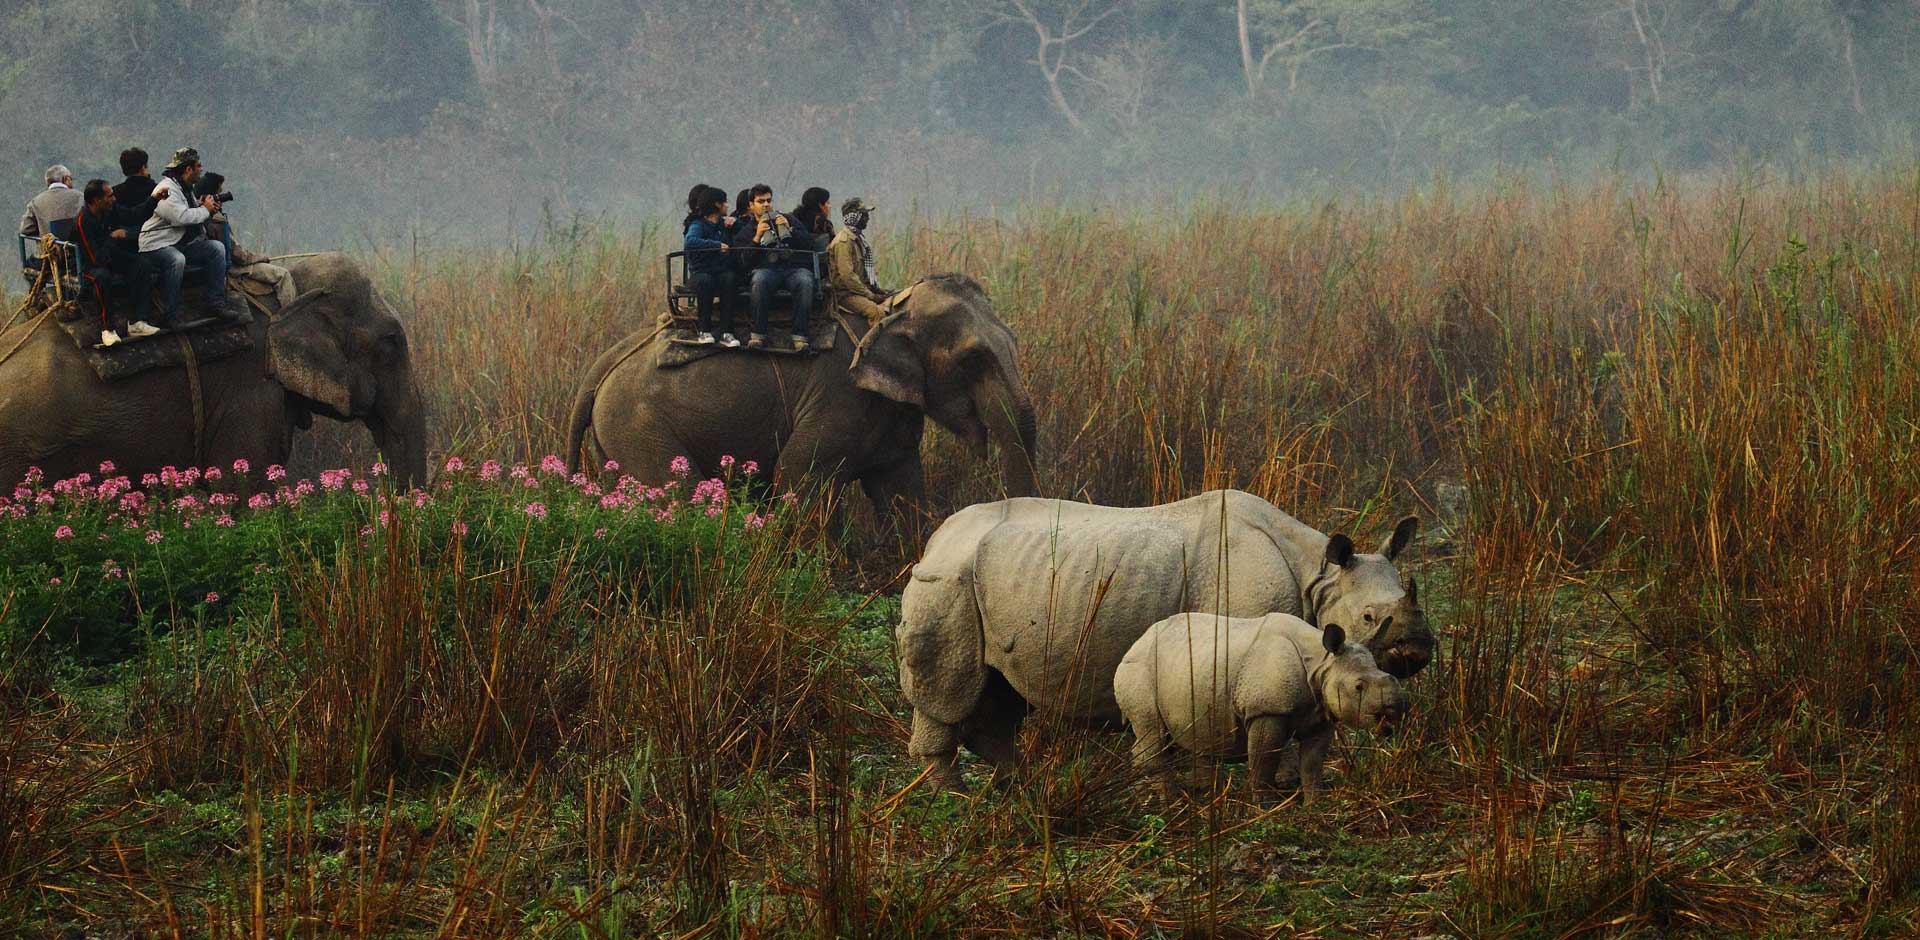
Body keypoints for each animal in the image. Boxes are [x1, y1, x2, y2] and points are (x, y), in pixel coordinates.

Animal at [568, 272, 1044, 525]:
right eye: (973, 359)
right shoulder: (839, 398)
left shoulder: (890, 414)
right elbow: (798, 476)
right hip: (638, 426)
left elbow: (900, 489)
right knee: (677, 494)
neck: (889, 309)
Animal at [1113, 613, 1413, 805]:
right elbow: (1264, 761)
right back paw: (1168, 801)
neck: (1322, 661)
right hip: (1138, 667)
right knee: (1152, 731)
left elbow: (1312, 763)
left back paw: (1159, 796)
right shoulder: (1266, 710)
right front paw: (1264, 807)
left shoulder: (1321, 713)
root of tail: (1136, 641)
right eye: (1359, 687)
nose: (1395, 710)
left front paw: (1315, 805)